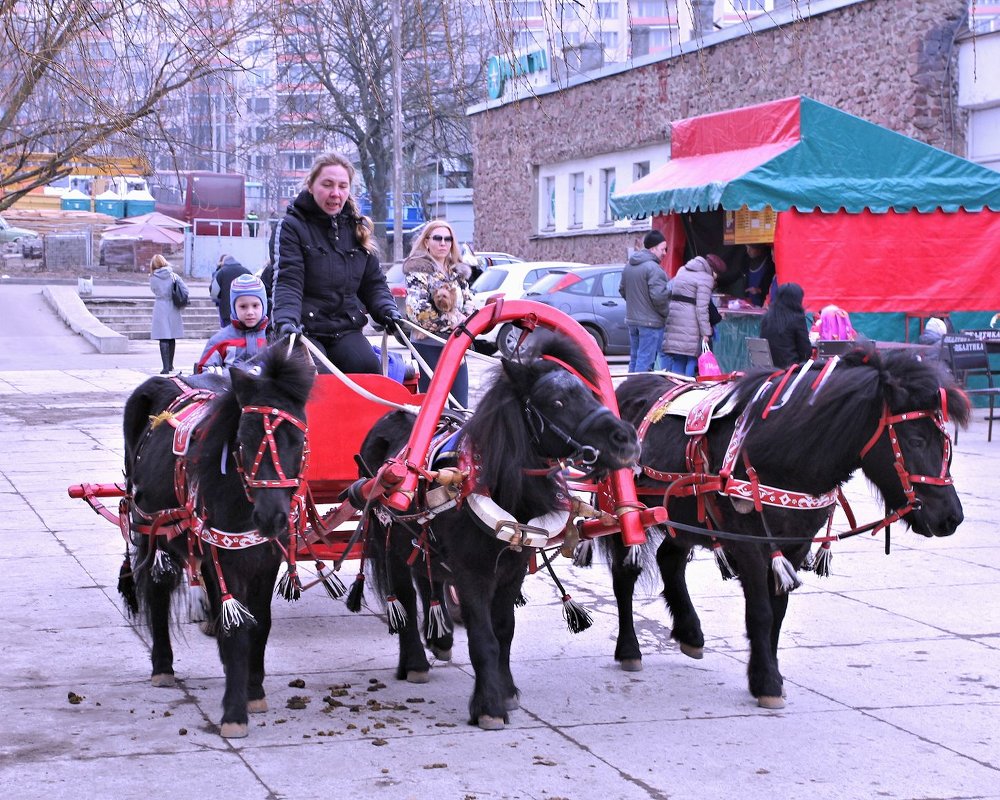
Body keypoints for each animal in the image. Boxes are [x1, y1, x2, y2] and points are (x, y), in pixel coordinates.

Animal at [362, 338, 640, 732]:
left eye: (589, 392)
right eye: (557, 402)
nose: (626, 439)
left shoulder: (512, 570)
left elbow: (504, 629)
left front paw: (506, 690)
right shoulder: (472, 575)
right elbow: (484, 639)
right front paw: (489, 705)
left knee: (427, 580)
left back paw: (440, 638)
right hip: (391, 542)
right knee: (404, 594)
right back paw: (415, 662)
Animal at [600, 346, 968, 708]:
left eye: (946, 441)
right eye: (916, 440)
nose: (951, 516)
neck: (781, 455)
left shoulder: (795, 544)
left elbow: (778, 611)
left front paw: (770, 673)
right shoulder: (749, 545)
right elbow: (761, 612)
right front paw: (765, 682)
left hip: (684, 518)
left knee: (669, 560)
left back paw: (690, 632)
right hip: (624, 514)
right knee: (625, 576)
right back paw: (629, 649)